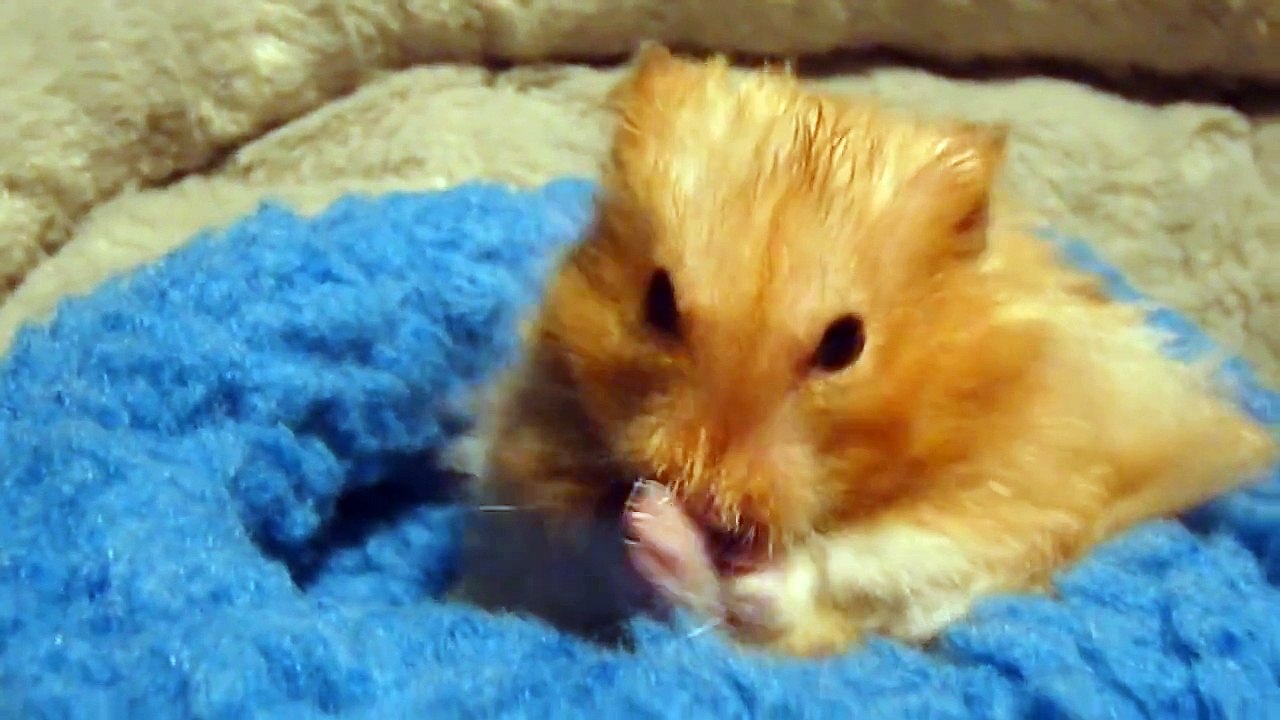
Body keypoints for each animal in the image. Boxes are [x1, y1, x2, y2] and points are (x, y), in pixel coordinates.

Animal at [448, 46, 1279, 657]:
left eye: (845, 344)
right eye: (657, 303)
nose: (707, 502)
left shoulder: (1019, 488)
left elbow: (856, 560)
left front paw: (726, 551)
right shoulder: (526, 475)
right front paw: (651, 516)